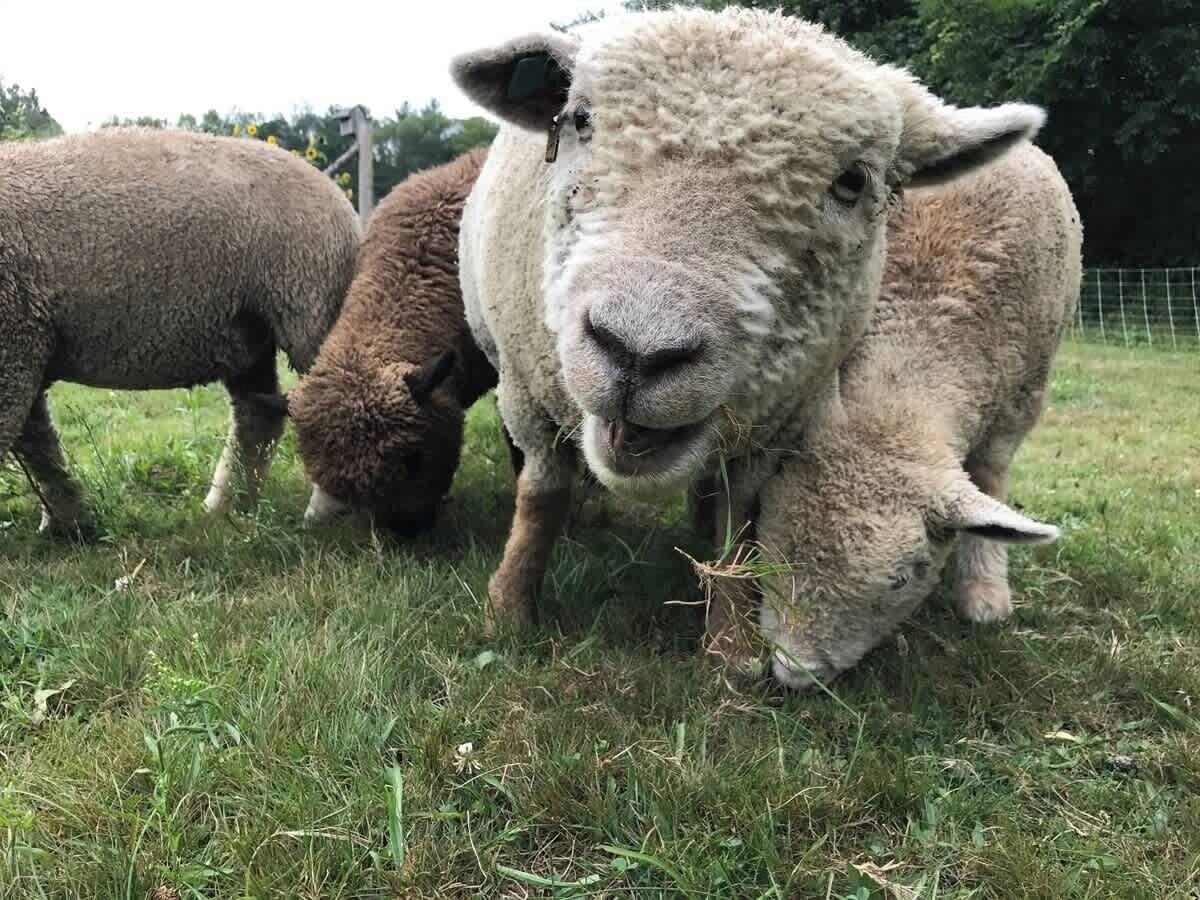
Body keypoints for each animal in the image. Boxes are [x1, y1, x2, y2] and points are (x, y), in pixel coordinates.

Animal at [0, 128, 361, 538]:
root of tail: (341, 200)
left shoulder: (14, 343)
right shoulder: (24, 340)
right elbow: (36, 443)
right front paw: (69, 522)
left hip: (311, 303)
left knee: (338, 398)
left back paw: (325, 512)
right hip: (249, 335)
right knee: (258, 413)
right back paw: (226, 506)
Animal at [450, 7, 1047, 639]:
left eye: (854, 181)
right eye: (579, 120)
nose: (638, 353)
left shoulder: (780, 421)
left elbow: (738, 525)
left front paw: (731, 644)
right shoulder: (523, 389)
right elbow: (541, 497)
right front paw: (509, 612)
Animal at [751, 142, 1082, 690]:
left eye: (903, 578)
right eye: (769, 540)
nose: (796, 672)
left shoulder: (1014, 412)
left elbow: (991, 482)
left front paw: (985, 592)